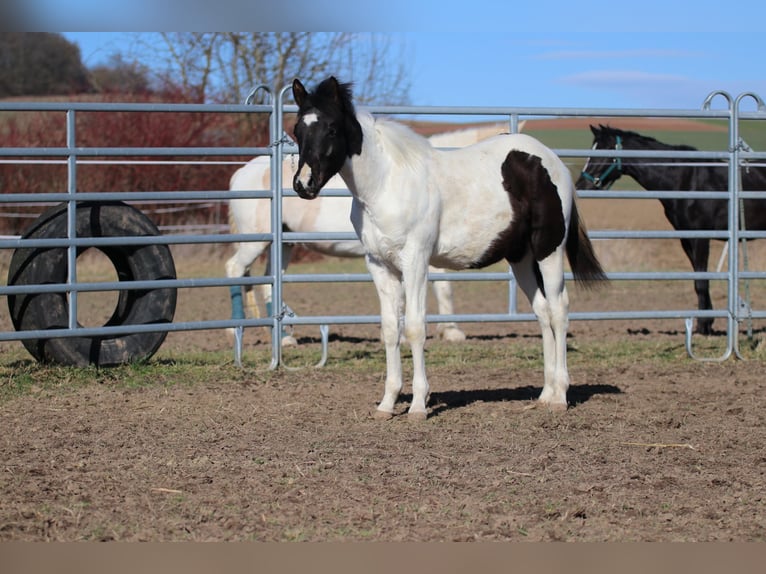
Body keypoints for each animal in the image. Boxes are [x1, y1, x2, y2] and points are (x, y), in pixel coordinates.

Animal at [225, 125, 507, 346]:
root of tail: (241, 173)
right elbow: (443, 287)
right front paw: (451, 331)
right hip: (255, 241)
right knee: (234, 268)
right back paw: (234, 329)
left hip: (283, 245)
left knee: (268, 282)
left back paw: (284, 337)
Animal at [290, 76, 606, 418]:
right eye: (297, 130)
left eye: (332, 129)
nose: (303, 185)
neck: (385, 185)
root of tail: (551, 161)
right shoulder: (379, 265)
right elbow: (390, 329)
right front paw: (387, 403)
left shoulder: (415, 260)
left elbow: (415, 327)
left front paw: (418, 405)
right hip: (521, 258)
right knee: (543, 311)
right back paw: (545, 394)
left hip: (549, 250)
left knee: (559, 310)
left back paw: (560, 396)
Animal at [576, 124, 766, 335]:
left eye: (603, 151)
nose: (580, 185)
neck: (685, 180)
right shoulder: (686, 238)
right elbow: (698, 278)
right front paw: (706, 322)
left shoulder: (701, 237)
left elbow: (701, 281)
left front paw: (703, 325)